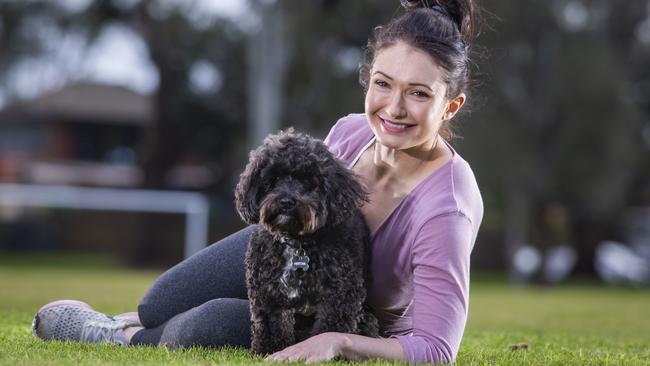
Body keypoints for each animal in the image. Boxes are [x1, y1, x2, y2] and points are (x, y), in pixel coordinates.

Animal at [234, 129, 378, 354]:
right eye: (273, 179)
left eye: (310, 181)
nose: (286, 201)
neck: (297, 243)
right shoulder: (267, 293)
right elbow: (270, 326)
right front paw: (267, 350)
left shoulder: (341, 294)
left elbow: (330, 328)